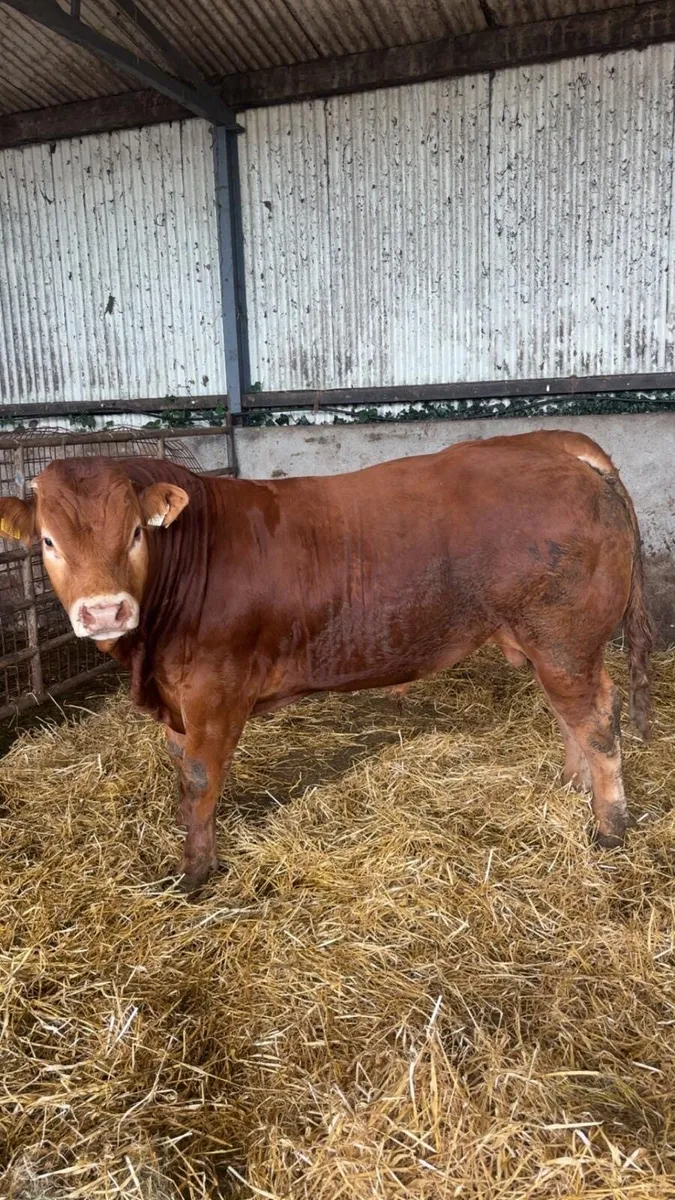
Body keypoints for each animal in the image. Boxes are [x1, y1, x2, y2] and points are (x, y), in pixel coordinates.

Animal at [0, 429, 652, 891]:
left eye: (136, 533)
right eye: (49, 542)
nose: (104, 611)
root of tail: (552, 444)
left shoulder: (215, 689)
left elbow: (200, 778)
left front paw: (195, 873)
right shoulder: (175, 699)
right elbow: (183, 771)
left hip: (562, 639)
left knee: (598, 719)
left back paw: (609, 826)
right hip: (555, 646)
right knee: (573, 714)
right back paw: (572, 785)